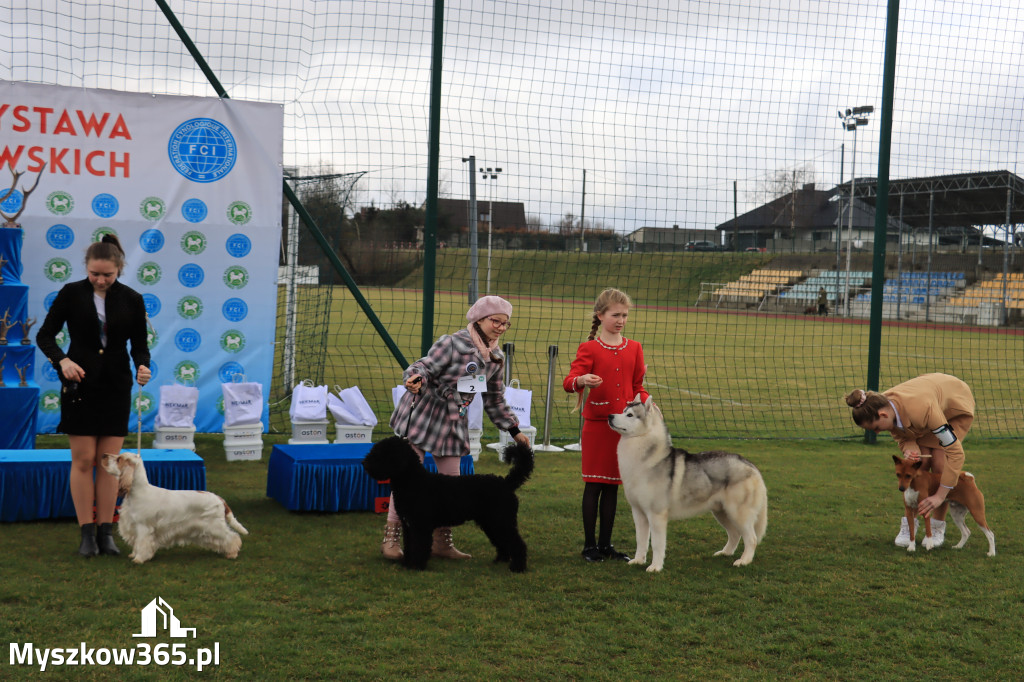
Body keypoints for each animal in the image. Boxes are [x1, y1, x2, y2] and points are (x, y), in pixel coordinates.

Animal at [100, 450, 249, 561]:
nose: (103, 455)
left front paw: (139, 559)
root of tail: (219, 498)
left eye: (119, 459)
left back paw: (232, 553)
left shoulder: (143, 527)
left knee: (232, 537)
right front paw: (134, 554)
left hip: (214, 526)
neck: (137, 491)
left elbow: (142, 543)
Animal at [362, 432, 536, 569]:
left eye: (383, 453)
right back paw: (500, 560)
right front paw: (407, 563)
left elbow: (419, 546)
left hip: (501, 521)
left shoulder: (420, 525)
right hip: (492, 523)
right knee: (503, 542)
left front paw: (416, 566)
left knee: (517, 543)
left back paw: (518, 567)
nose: (365, 463)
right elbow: (410, 545)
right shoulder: (409, 525)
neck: (414, 481)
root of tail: (506, 482)